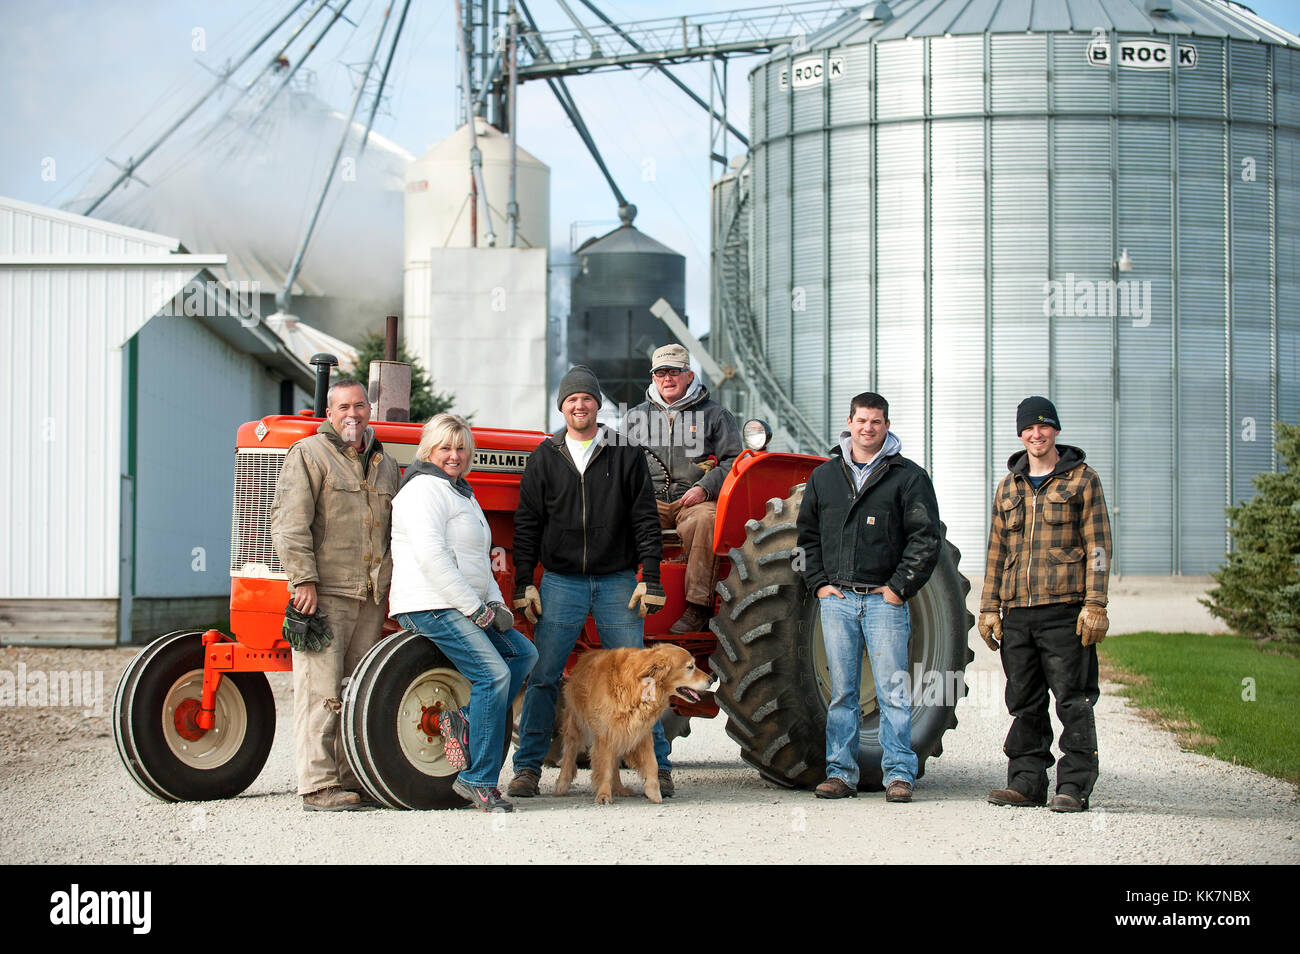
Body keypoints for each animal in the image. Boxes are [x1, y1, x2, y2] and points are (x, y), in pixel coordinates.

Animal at [551, 642, 712, 805]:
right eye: (690, 667)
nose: (711, 680)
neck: (639, 687)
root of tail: (585, 655)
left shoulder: (641, 731)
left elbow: (652, 763)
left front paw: (654, 792)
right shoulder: (606, 733)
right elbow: (605, 768)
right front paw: (603, 795)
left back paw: (619, 788)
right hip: (576, 724)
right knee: (569, 752)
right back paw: (562, 783)